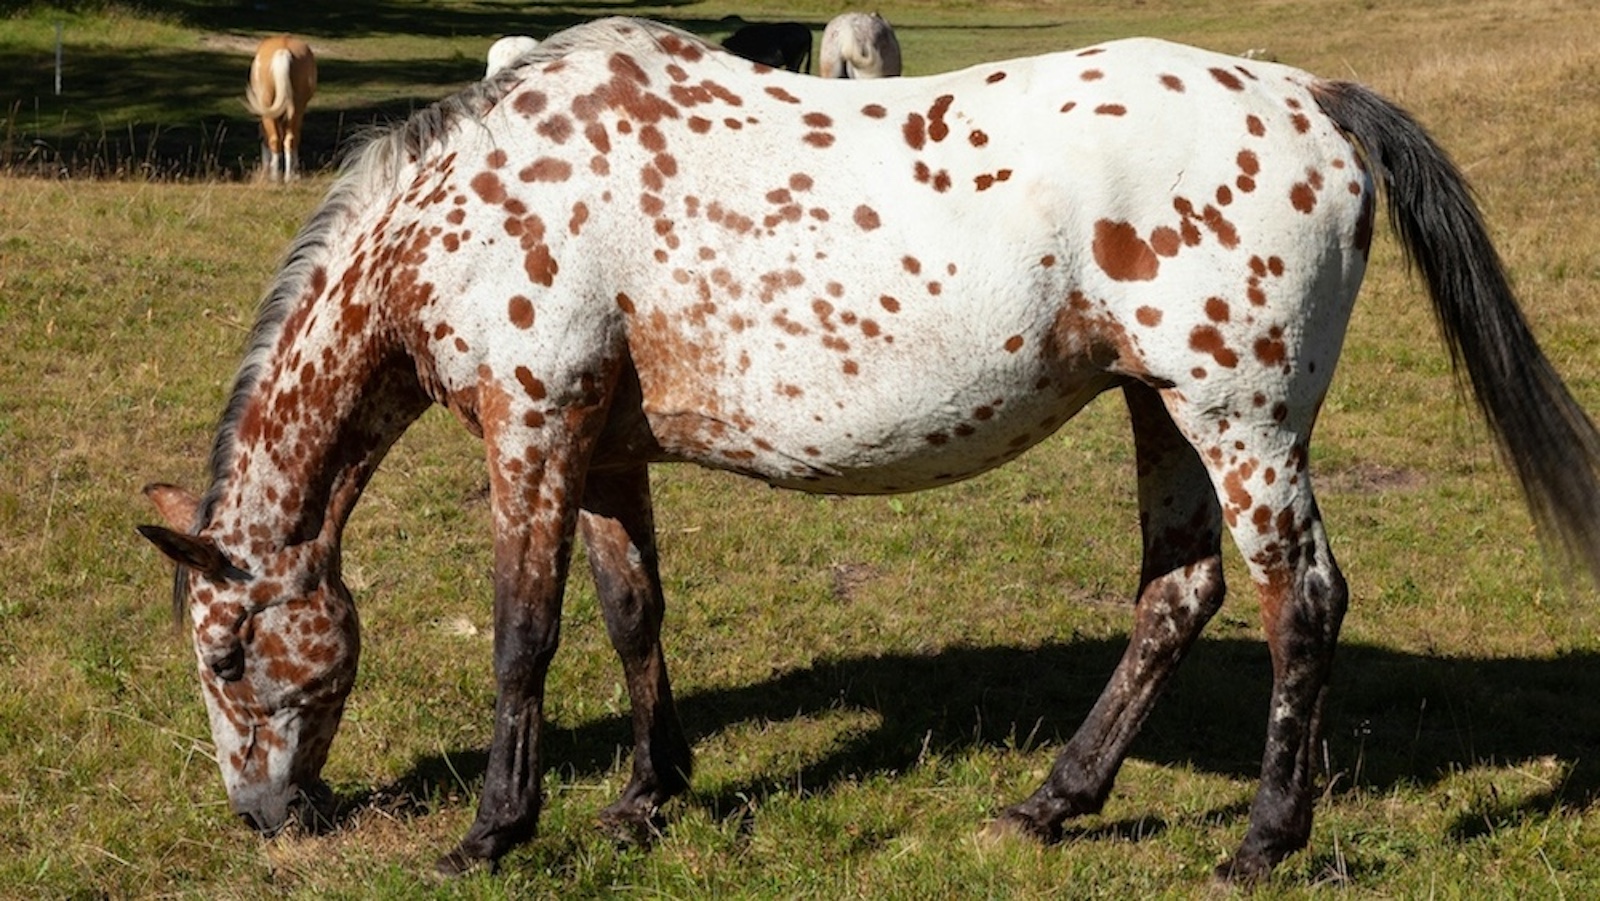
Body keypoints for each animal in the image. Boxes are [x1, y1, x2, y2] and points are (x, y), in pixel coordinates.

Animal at [245, 34, 317, 182]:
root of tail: (283, 51)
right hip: (295, 109)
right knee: (288, 138)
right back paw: (287, 177)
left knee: (277, 139)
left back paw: (277, 177)